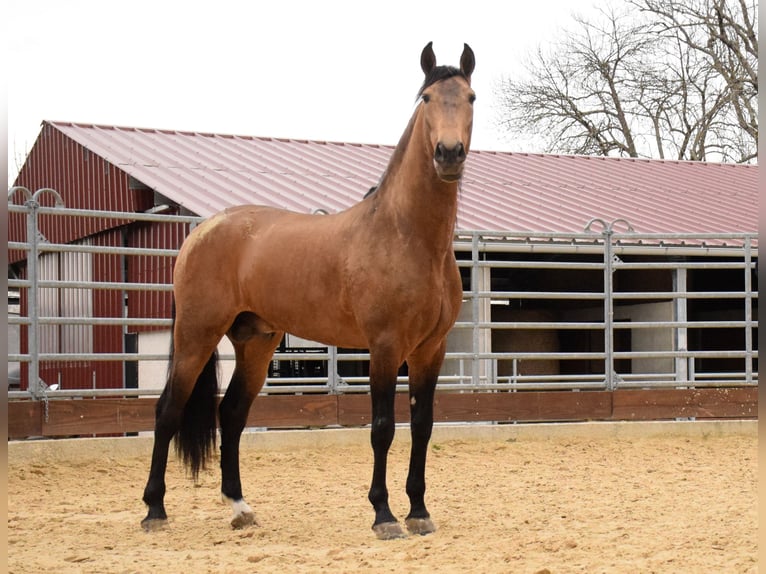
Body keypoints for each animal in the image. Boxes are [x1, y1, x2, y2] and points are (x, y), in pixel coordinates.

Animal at [141, 41, 476, 540]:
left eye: (470, 97)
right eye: (427, 99)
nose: (448, 153)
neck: (406, 236)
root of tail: (200, 231)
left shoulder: (429, 350)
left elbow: (423, 426)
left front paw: (418, 511)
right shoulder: (384, 347)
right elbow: (382, 427)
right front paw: (384, 515)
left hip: (256, 342)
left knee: (232, 414)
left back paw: (240, 507)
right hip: (196, 336)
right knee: (167, 411)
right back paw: (154, 510)